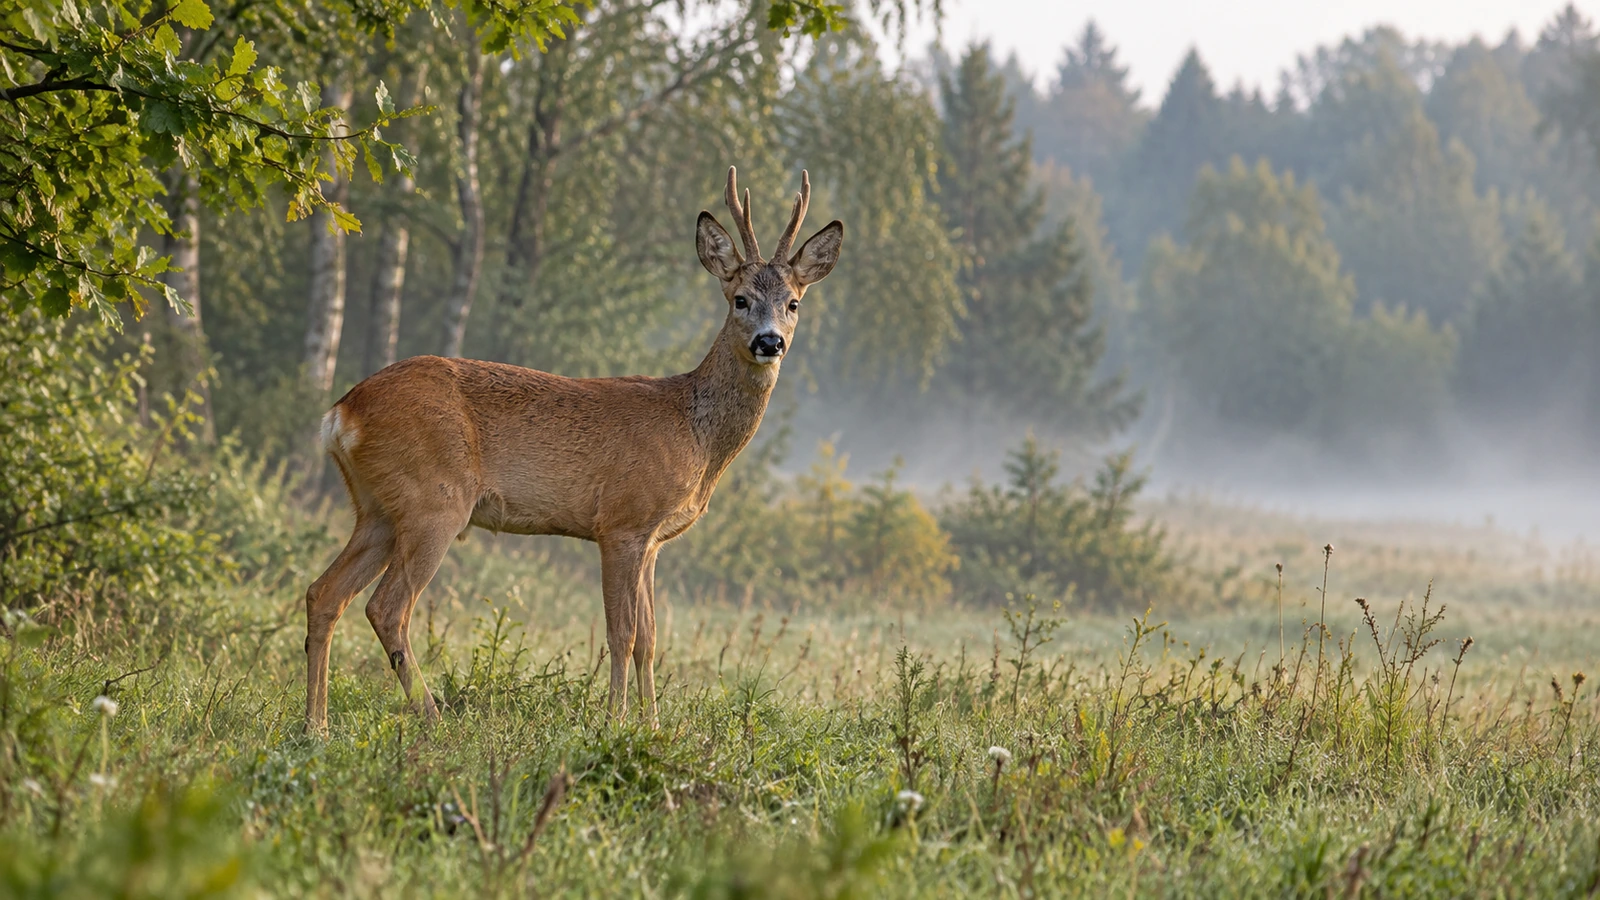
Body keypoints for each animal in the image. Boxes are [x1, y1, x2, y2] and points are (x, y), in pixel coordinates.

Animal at [302, 168, 842, 734]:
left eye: (793, 303)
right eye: (739, 298)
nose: (769, 342)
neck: (694, 431)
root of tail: (341, 413)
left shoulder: (653, 541)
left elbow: (651, 639)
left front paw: (652, 726)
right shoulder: (623, 522)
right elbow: (623, 634)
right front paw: (616, 722)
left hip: (378, 509)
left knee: (324, 593)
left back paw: (317, 725)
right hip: (434, 500)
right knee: (387, 607)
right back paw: (433, 718)